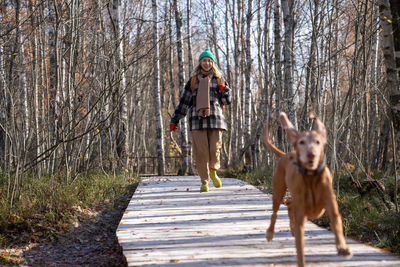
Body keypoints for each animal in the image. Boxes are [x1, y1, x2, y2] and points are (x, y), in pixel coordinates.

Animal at [264, 112, 352, 267]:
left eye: (317, 142)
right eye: (302, 142)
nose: (311, 154)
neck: (311, 178)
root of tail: (286, 154)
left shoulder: (331, 208)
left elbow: (337, 225)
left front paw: (342, 248)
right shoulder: (301, 218)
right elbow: (300, 250)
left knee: (289, 203)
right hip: (278, 191)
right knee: (276, 211)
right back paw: (270, 233)